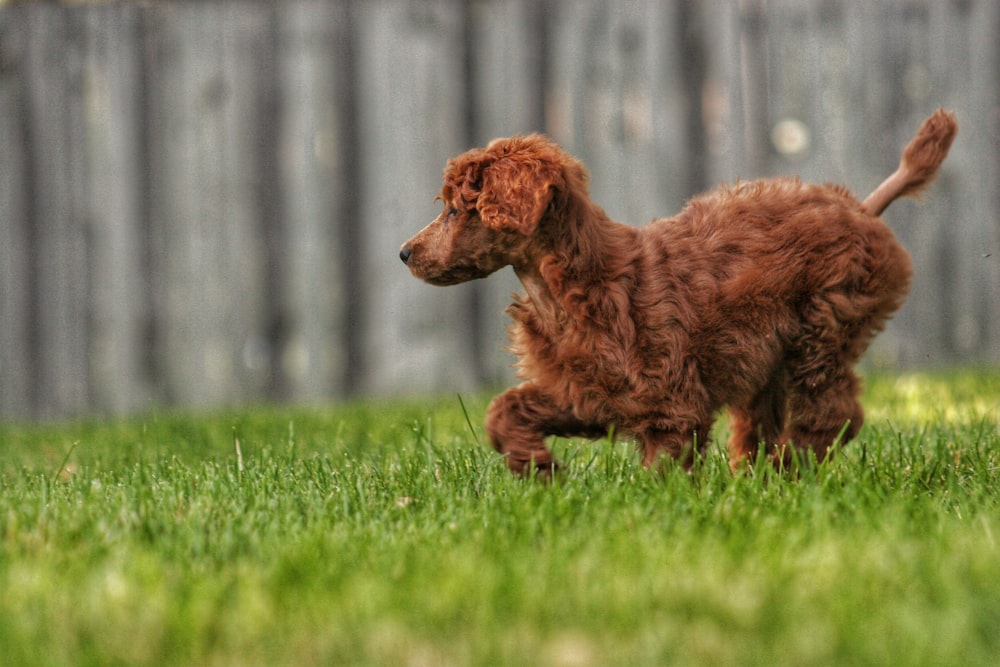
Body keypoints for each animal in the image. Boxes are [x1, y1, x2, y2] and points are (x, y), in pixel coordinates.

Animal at [402, 111, 956, 474]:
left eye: (456, 210)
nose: (405, 253)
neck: (566, 286)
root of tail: (862, 209)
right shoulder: (585, 390)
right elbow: (504, 411)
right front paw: (538, 468)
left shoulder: (668, 399)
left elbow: (664, 465)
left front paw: (655, 510)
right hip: (768, 363)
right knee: (764, 424)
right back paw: (758, 481)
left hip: (824, 329)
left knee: (833, 414)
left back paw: (794, 470)